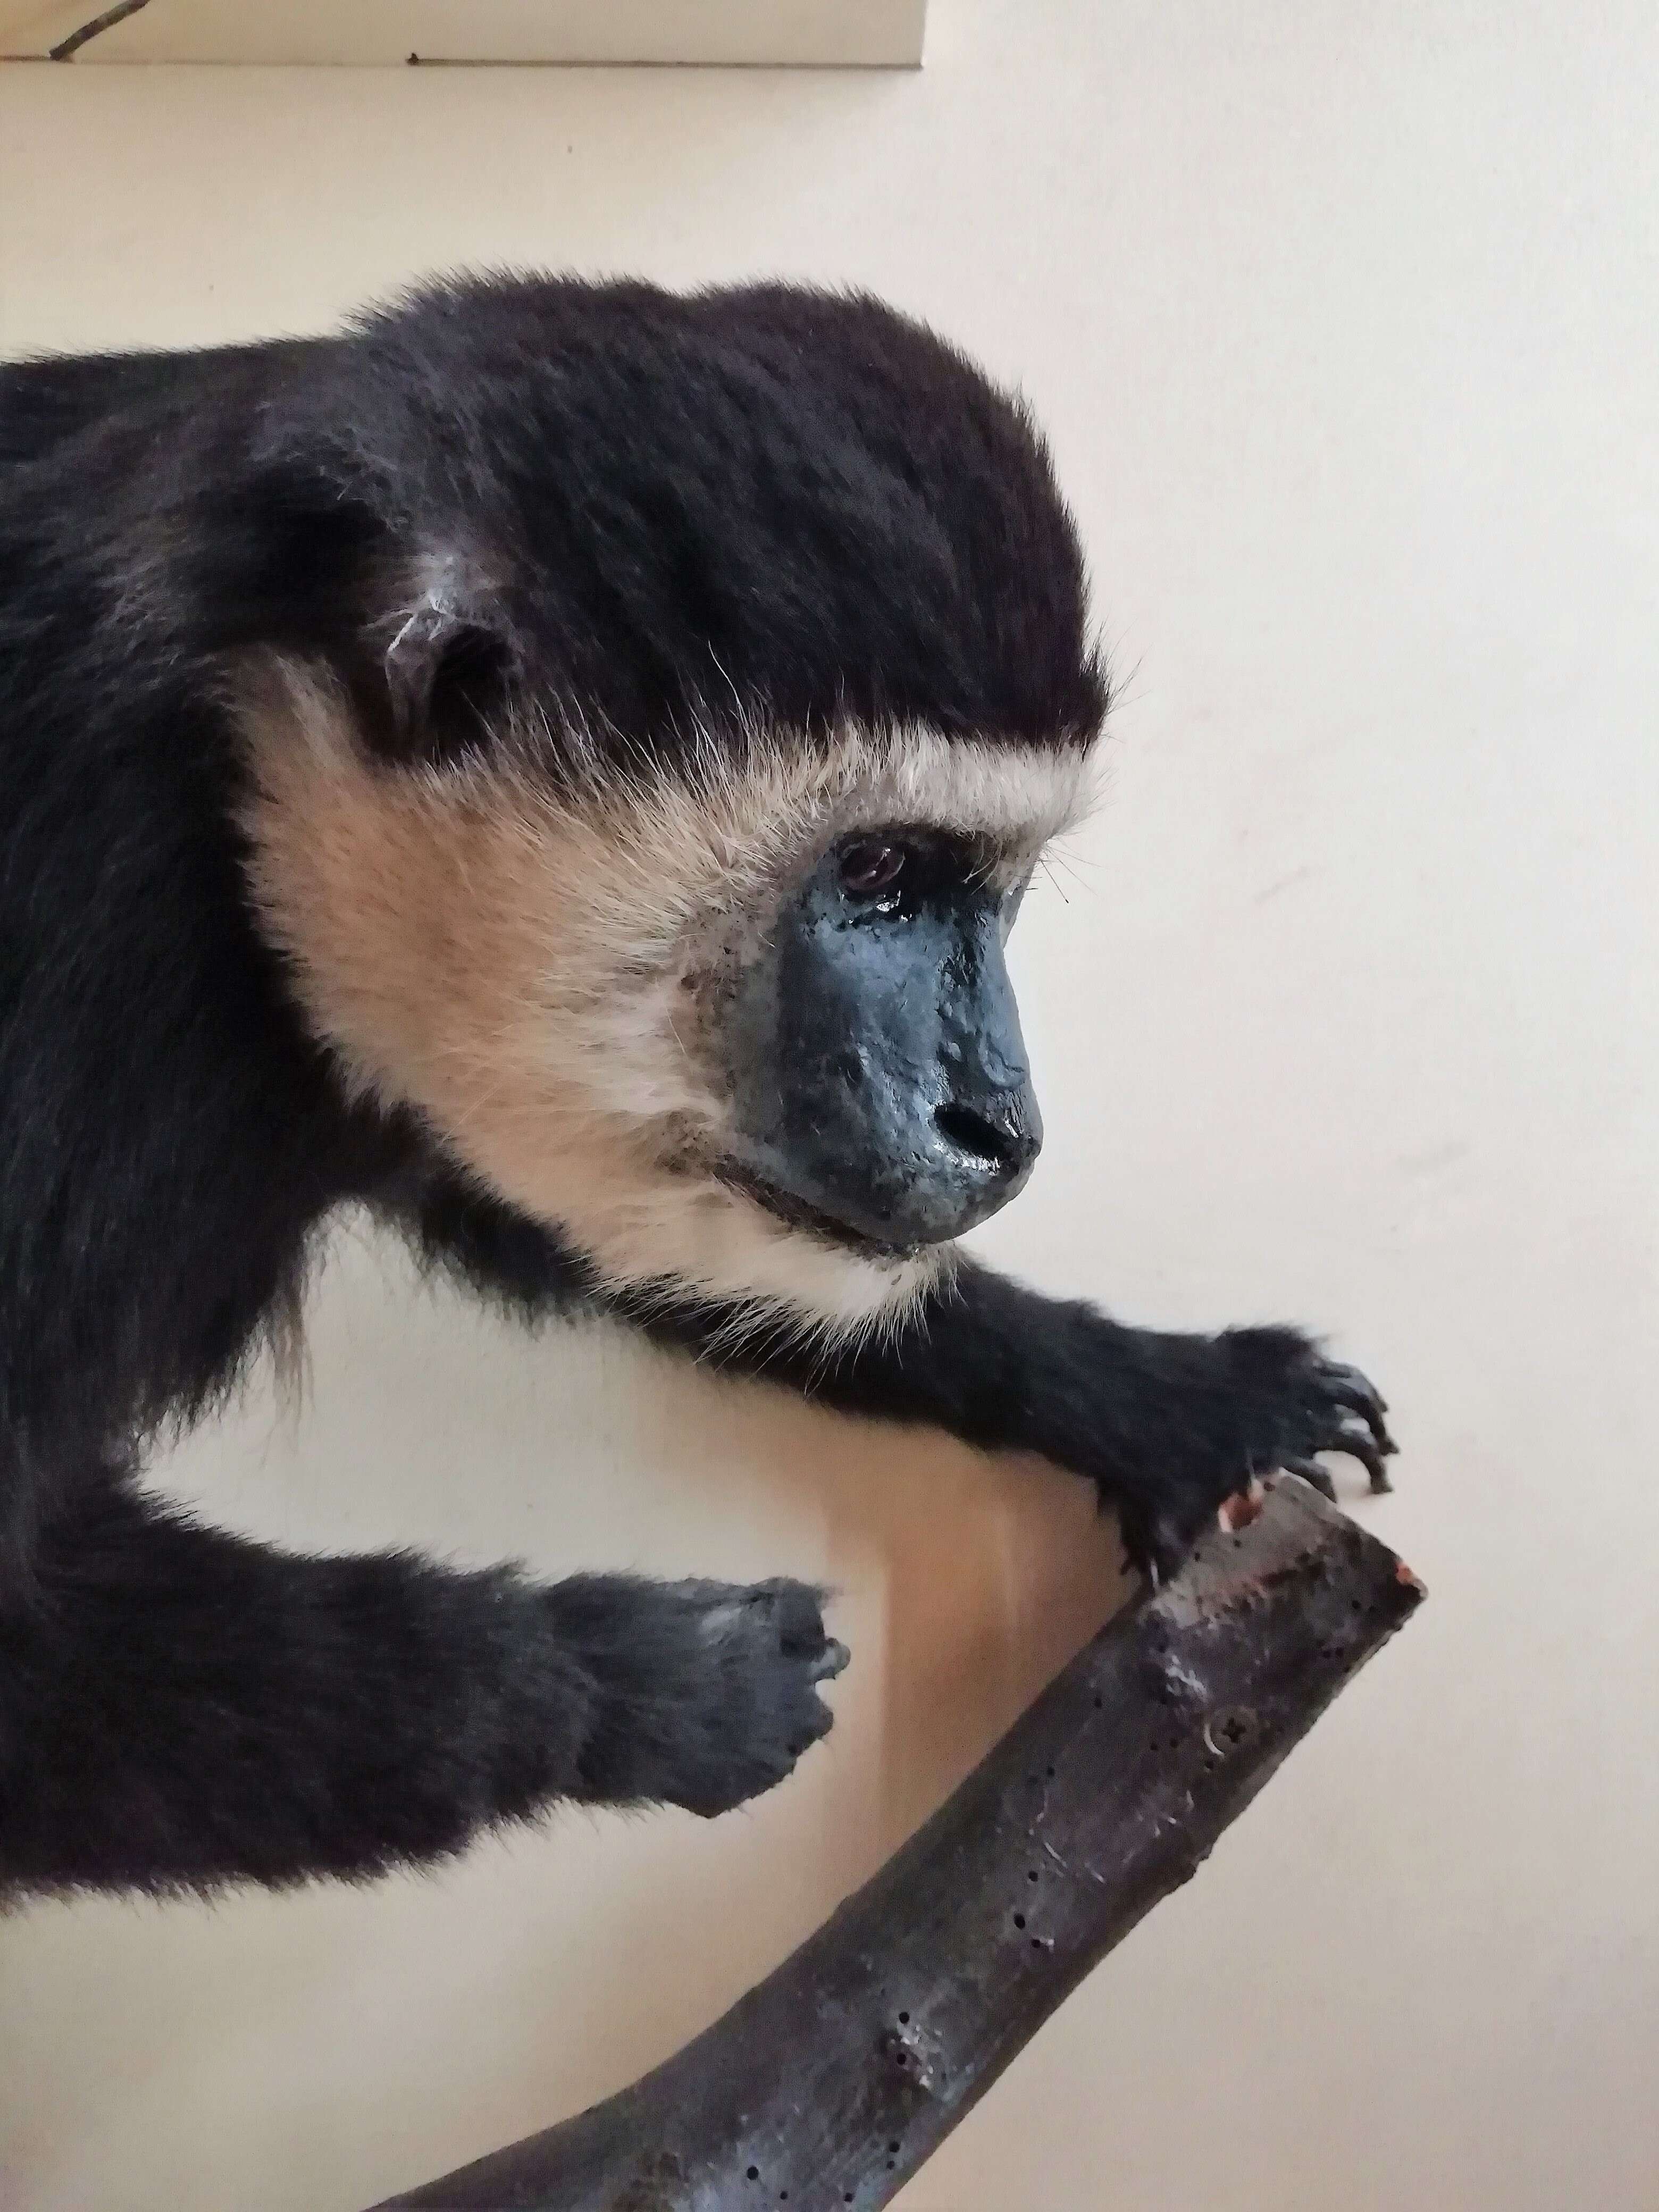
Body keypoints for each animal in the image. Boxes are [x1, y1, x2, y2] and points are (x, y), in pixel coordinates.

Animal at [0, 276, 1406, 1902]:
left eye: (984, 891)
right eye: (877, 873)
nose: (997, 1126)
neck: (237, 753)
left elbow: (556, 1224)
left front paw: (1167, 1399)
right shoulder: (90, 972)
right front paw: (651, 1695)